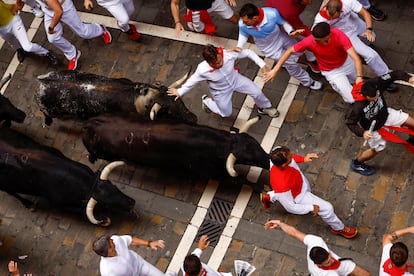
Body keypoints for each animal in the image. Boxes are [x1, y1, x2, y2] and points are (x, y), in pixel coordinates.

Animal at [0, 127, 135, 226]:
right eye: (105, 203)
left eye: (115, 187)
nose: (131, 203)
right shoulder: (59, 203)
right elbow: (80, 211)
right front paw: (105, 220)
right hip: (5, 187)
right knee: (12, 192)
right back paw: (28, 204)